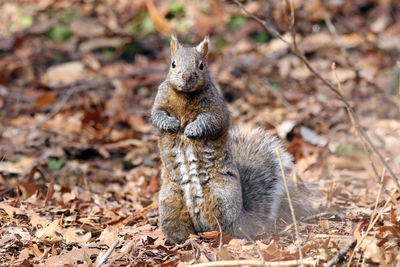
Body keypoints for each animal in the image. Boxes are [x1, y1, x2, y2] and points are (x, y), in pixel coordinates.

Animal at [150, 35, 316, 245]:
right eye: (173, 64)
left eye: (201, 65)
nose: (187, 77)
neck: (185, 96)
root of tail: (245, 219)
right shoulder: (159, 102)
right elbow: (157, 116)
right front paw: (170, 123)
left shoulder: (216, 110)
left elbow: (209, 121)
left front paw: (191, 129)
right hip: (170, 203)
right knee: (180, 228)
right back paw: (184, 241)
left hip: (221, 200)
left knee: (227, 228)